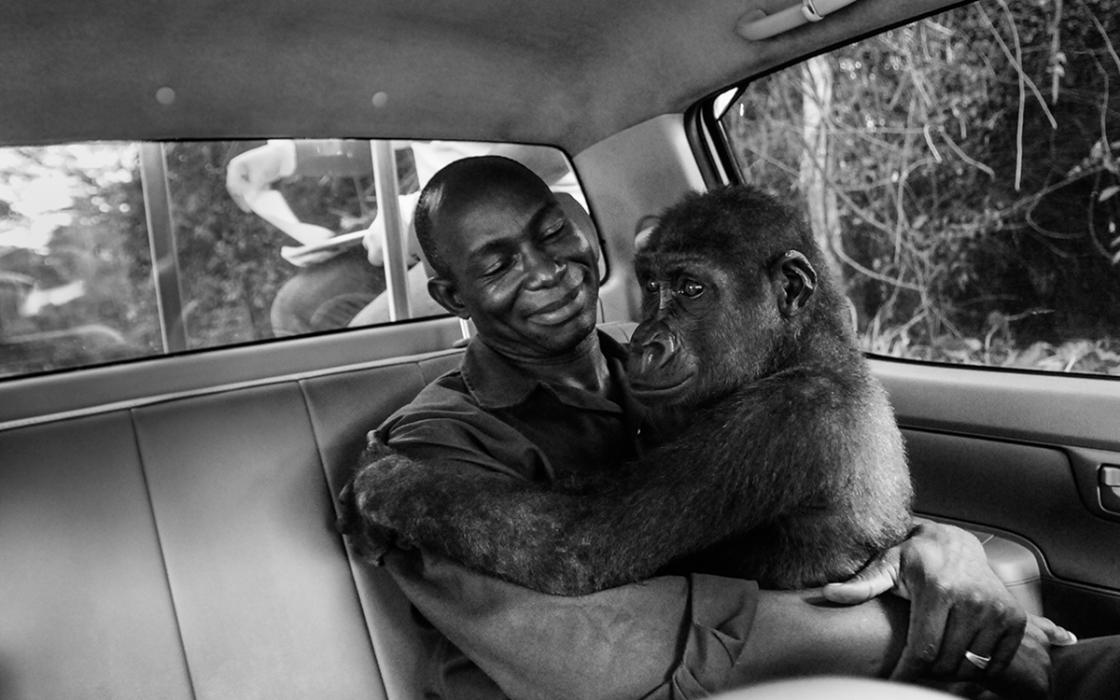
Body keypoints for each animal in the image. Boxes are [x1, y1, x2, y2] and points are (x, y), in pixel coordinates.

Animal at [338, 185, 909, 595]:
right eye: (652, 287)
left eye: (691, 289)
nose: (644, 340)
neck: (802, 349)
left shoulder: (780, 420)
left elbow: (579, 540)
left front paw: (388, 481)